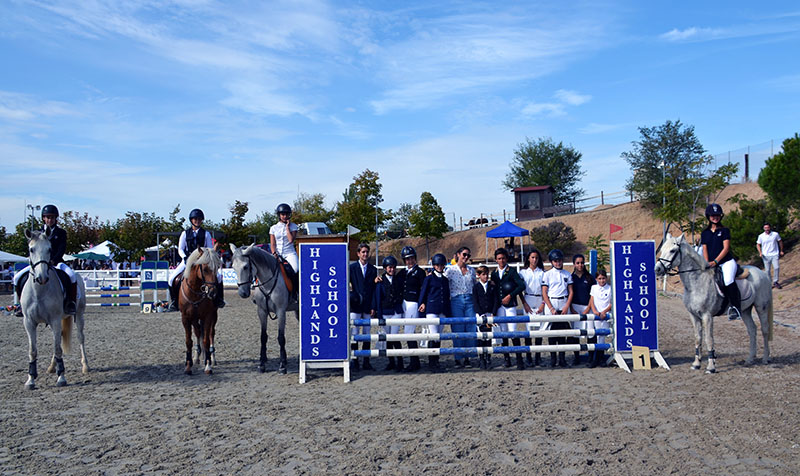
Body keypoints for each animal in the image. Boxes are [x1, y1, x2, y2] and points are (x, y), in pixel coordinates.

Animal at [21, 229, 88, 388]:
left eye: (50, 249)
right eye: (31, 249)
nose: (42, 278)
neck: (39, 291)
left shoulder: (55, 320)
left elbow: (58, 349)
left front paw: (61, 377)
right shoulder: (29, 322)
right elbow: (33, 351)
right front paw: (30, 379)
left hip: (79, 314)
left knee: (80, 337)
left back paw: (85, 366)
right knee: (59, 338)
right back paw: (52, 367)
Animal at [652, 232, 772, 374]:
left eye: (672, 250)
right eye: (662, 250)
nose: (657, 269)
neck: (696, 282)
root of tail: (763, 273)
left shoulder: (707, 316)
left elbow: (709, 339)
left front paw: (711, 367)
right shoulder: (693, 316)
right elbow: (698, 338)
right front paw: (696, 364)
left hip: (761, 307)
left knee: (764, 330)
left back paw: (765, 358)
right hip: (745, 310)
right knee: (752, 329)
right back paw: (750, 359)